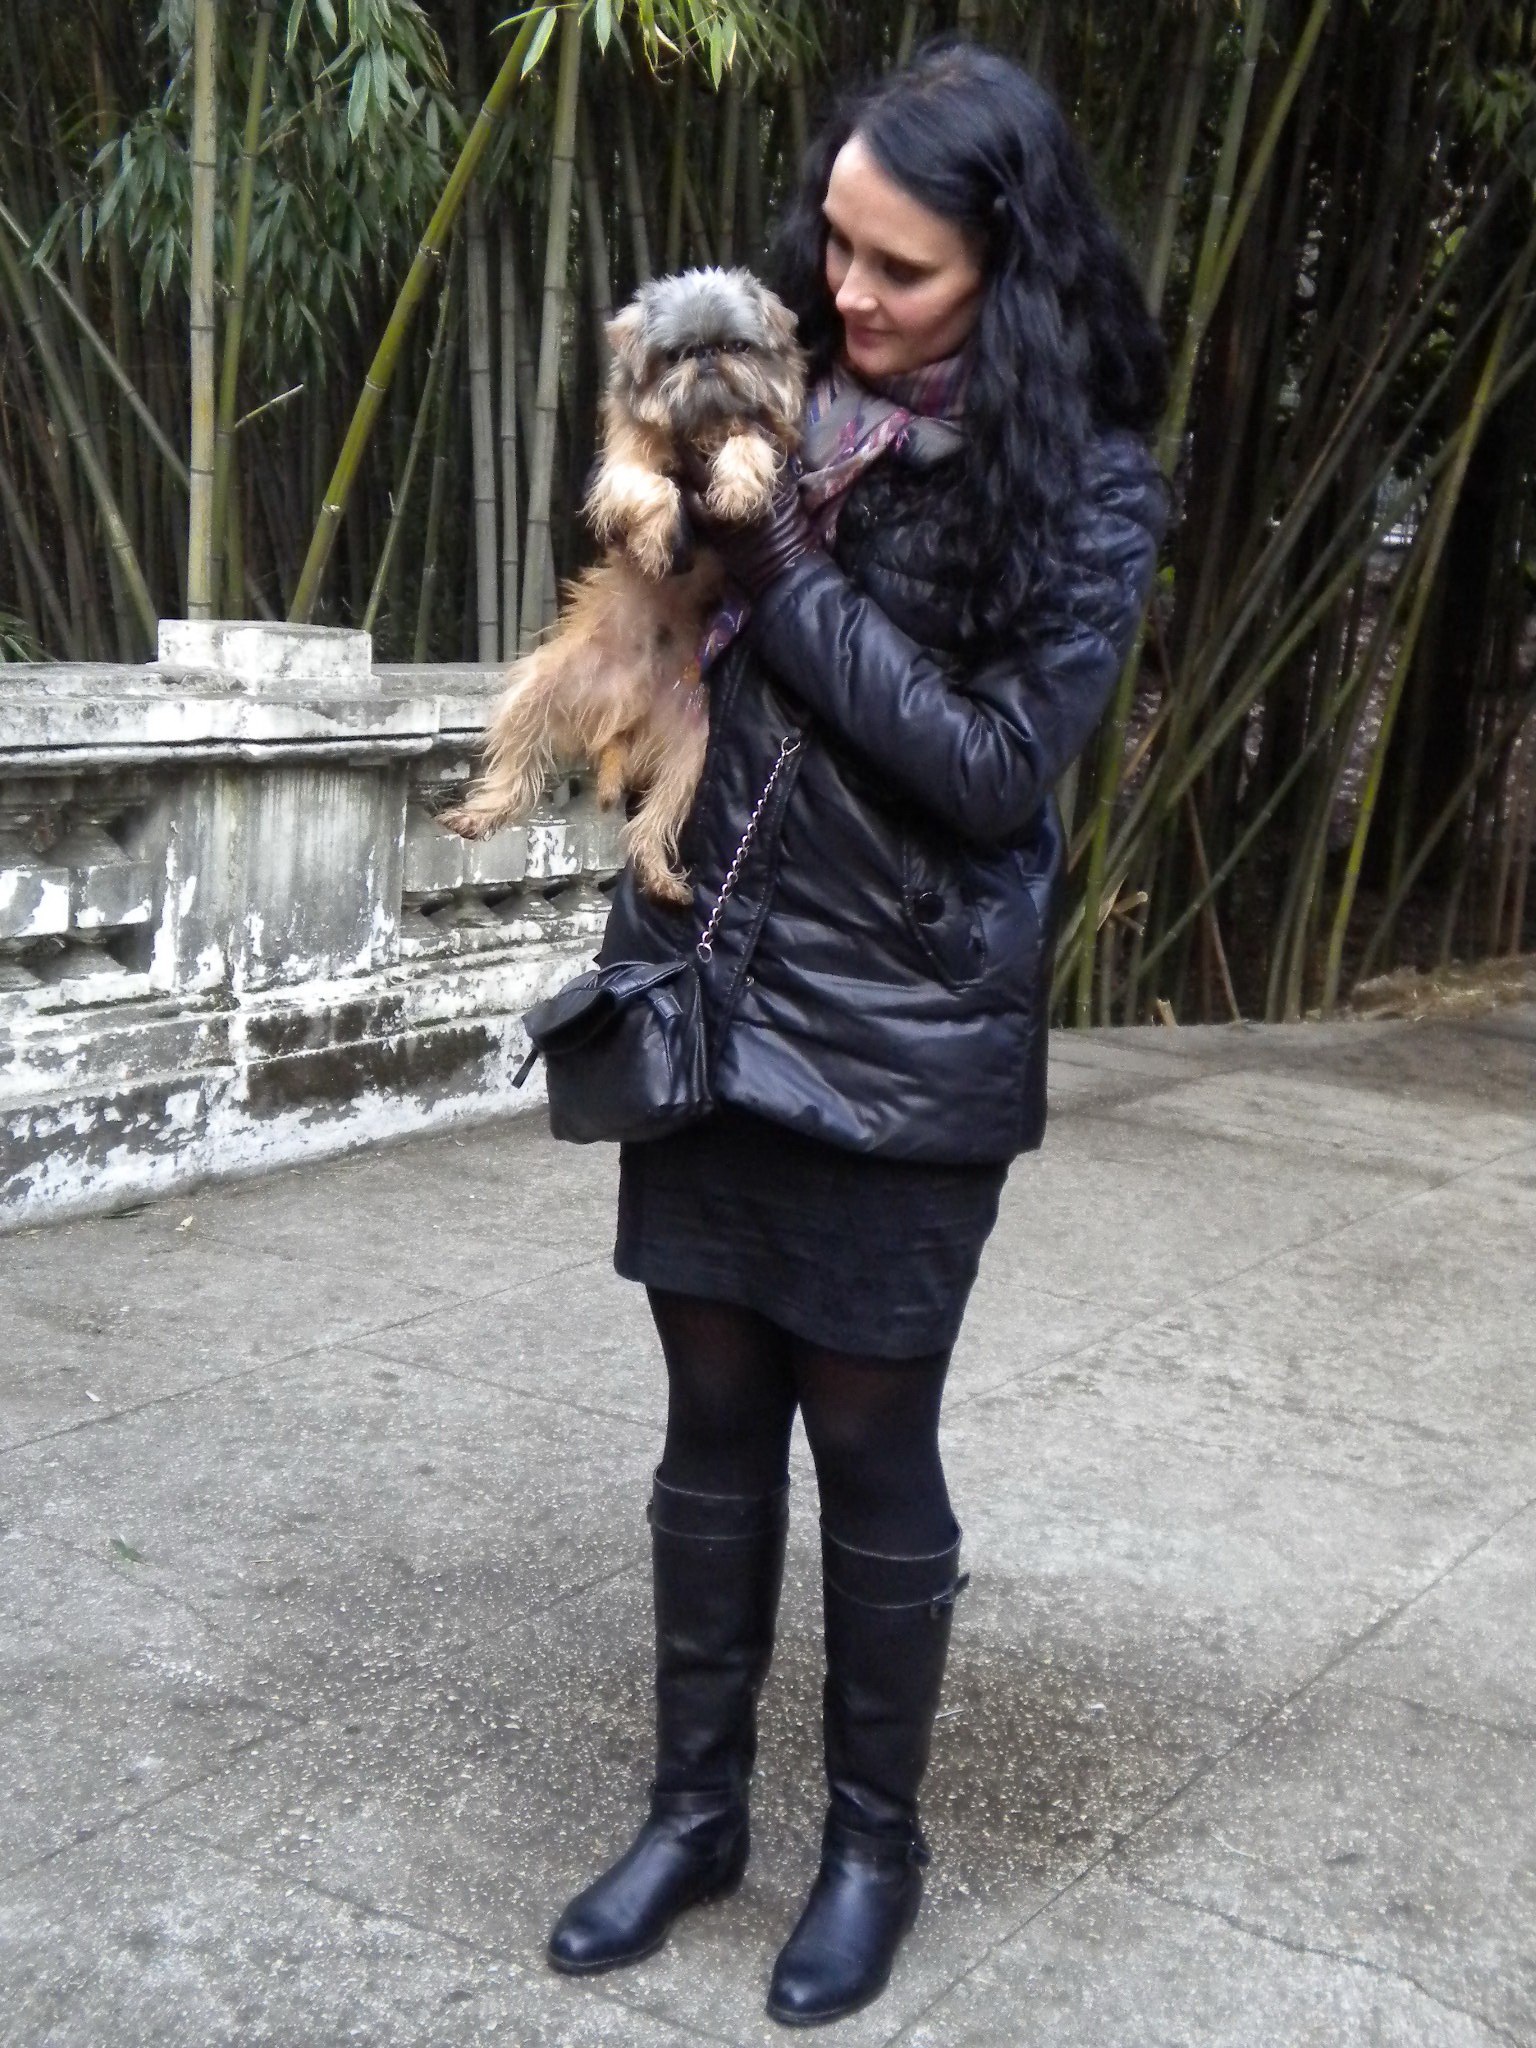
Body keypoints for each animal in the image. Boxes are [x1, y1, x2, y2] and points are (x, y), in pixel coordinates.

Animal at [439, 268, 807, 904]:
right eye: (678, 354)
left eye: (738, 347)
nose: (707, 358)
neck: (701, 427)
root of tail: (623, 719)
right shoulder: (618, 467)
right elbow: (650, 486)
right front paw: (660, 539)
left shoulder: (771, 437)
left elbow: (748, 442)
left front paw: (736, 487)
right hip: (540, 686)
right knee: (517, 768)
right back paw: (481, 814)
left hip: (693, 748)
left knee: (649, 822)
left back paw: (661, 877)